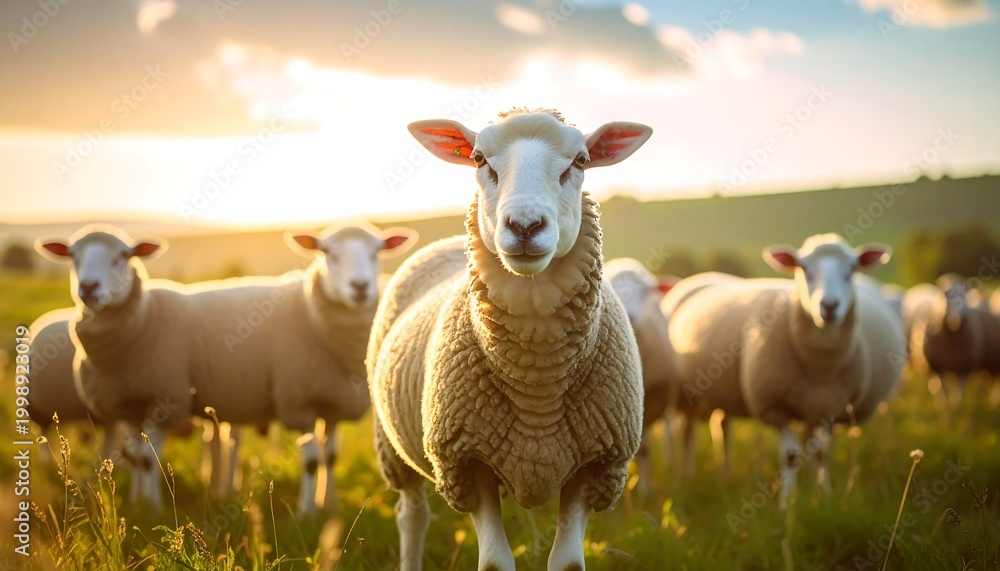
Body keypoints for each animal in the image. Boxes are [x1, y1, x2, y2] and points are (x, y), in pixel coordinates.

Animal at [36, 222, 415, 513]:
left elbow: (330, 458)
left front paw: (330, 507)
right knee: (140, 455)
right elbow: (310, 462)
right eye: (328, 253)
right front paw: (308, 513)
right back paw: (142, 502)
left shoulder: (334, 402)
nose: (360, 287)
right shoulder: (296, 402)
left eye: (376, 253)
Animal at [368, 109, 652, 571]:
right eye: (479, 158)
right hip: (395, 447)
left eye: (581, 160)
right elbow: (495, 563)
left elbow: (568, 563)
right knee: (411, 515)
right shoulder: (465, 464)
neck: (537, 381)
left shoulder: (597, 467)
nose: (525, 225)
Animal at [666, 234, 899, 505]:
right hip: (686, 395)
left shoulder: (831, 409)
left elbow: (823, 453)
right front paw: (787, 503)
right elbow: (790, 455)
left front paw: (824, 496)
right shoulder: (774, 408)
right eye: (804, 269)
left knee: (723, 426)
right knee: (687, 433)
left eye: (852, 269)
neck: (819, 367)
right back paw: (686, 477)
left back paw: (725, 474)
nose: (829, 306)